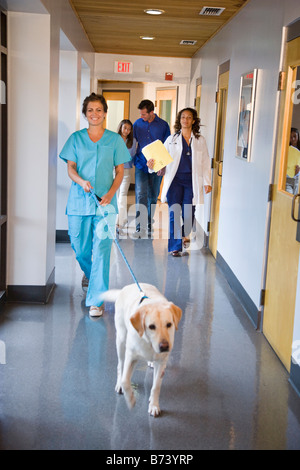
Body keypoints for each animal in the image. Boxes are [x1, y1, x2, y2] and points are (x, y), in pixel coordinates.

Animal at [102, 282, 182, 414]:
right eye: (151, 326)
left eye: (169, 324)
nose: (165, 346)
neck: (148, 342)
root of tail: (128, 286)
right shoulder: (131, 357)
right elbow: (125, 380)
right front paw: (130, 399)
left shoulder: (161, 363)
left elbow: (156, 387)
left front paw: (154, 405)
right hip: (121, 340)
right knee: (120, 366)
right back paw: (119, 384)